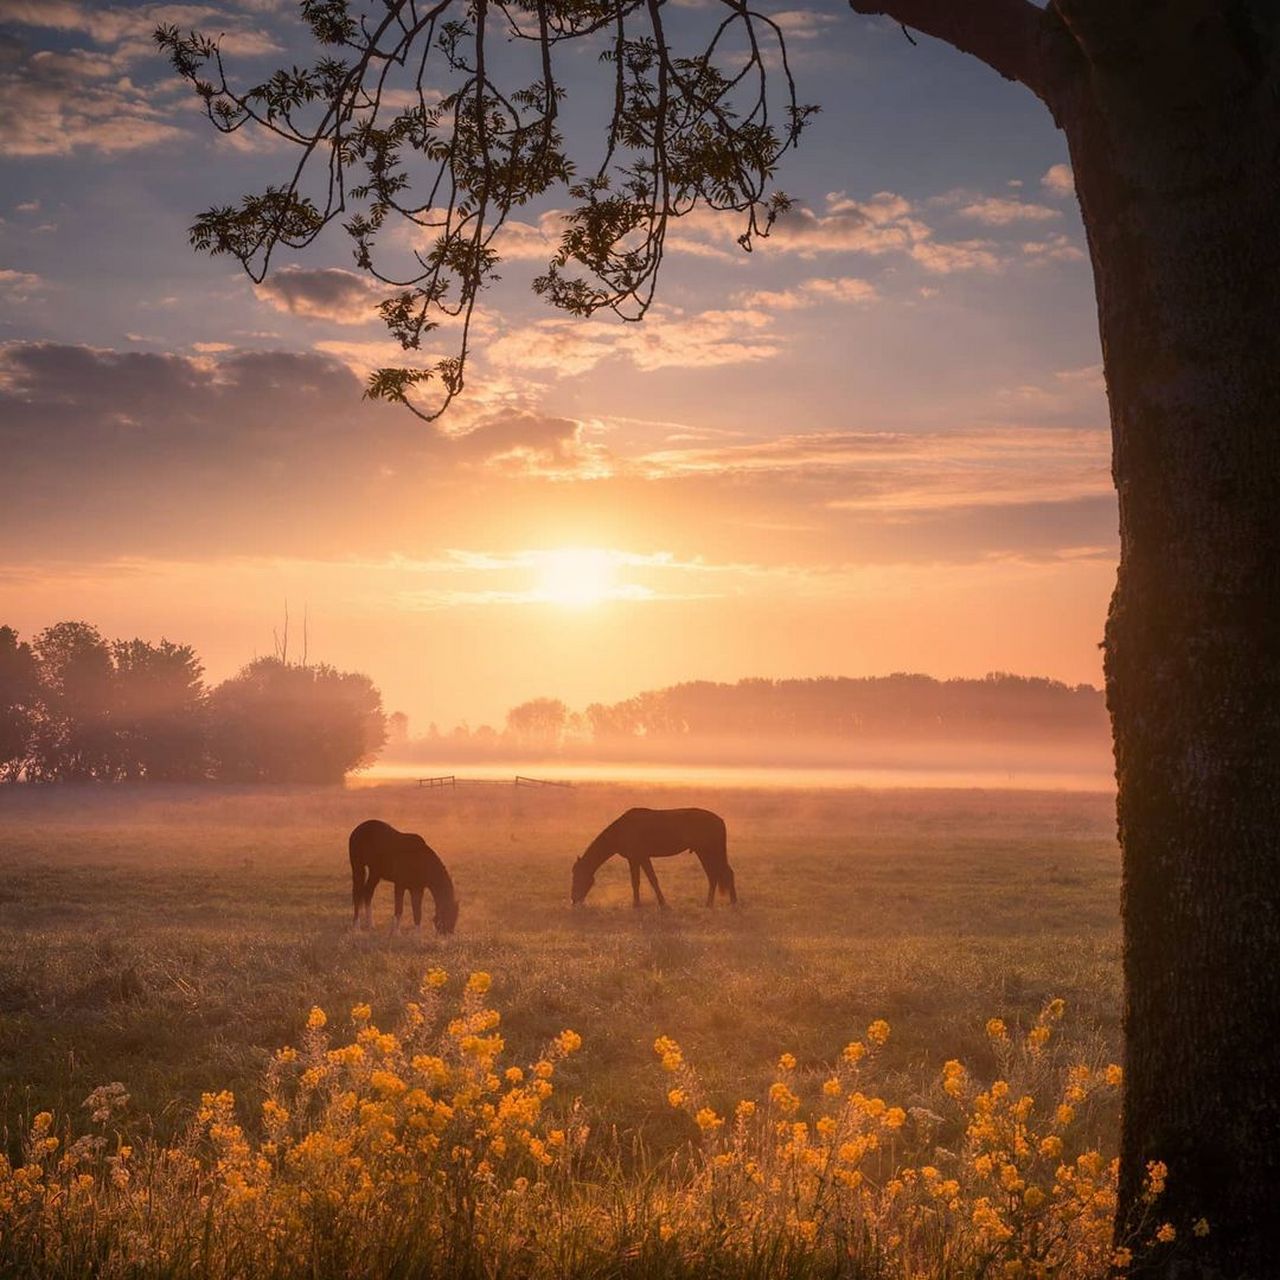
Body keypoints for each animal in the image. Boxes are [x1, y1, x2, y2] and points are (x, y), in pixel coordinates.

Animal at [573, 808, 742, 911]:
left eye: (577, 877)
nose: (573, 901)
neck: (621, 830)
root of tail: (720, 820)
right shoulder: (635, 859)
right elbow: (638, 881)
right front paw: (638, 905)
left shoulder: (641, 857)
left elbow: (651, 880)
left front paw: (660, 904)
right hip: (705, 852)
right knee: (715, 875)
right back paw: (710, 904)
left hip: (710, 851)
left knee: (723, 873)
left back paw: (732, 903)